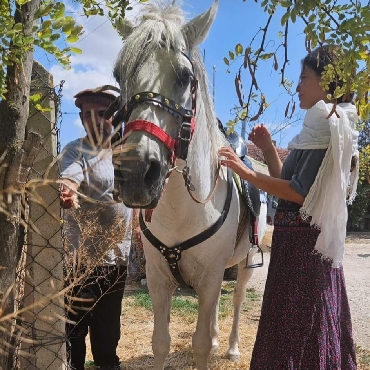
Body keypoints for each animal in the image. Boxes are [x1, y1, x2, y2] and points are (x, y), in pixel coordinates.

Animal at [112, 1, 266, 368]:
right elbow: (161, 342)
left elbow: (201, 345)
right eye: (119, 75)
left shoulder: (210, 279)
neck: (181, 211)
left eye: (185, 77)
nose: (136, 171)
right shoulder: (158, 280)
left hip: (243, 264)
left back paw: (232, 347)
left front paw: (216, 347)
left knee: (236, 301)